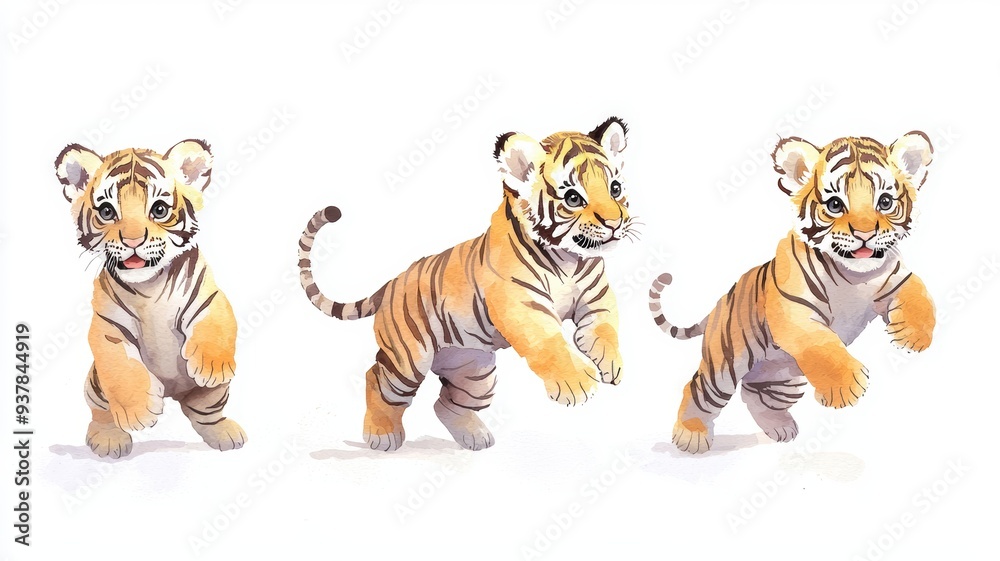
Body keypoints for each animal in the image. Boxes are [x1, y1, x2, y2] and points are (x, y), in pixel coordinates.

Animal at [55, 140, 246, 458]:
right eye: (106, 211)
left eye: (159, 209)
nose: (133, 241)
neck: (150, 287)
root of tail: (173, 394)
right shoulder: (107, 326)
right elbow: (121, 366)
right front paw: (138, 413)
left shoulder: (208, 297)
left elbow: (216, 323)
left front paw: (211, 366)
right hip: (95, 384)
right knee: (101, 412)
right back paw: (108, 439)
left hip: (213, 395)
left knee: (204, 413)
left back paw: (226, 433)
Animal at [298, 117, 637, 451]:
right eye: (573, 198)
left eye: (615, 188)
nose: (615, 222)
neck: (570, 259)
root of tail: (390, 283)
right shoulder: (522, 306)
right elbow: (549, 342)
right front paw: (576, 385)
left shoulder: (596, 299)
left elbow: (605, 329)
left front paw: (612, 364)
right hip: (408, 360)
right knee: (376, 378)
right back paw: (382, 436)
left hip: (475, 371)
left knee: (445, 404)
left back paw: (475, 438)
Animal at [649, 132, 936, 454]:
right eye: (835, 204)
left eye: (884, 202)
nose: (865, 234)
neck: (853, 275)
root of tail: (718, 305)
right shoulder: (793, 310)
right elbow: (821, 344)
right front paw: (845, 387)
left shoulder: (897, 279)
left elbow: (920, 295)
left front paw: (912, 336)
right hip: (725, 363)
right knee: (698, 388)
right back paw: (691, 436)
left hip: (784, 376)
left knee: (754, 393)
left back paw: (780, 428)